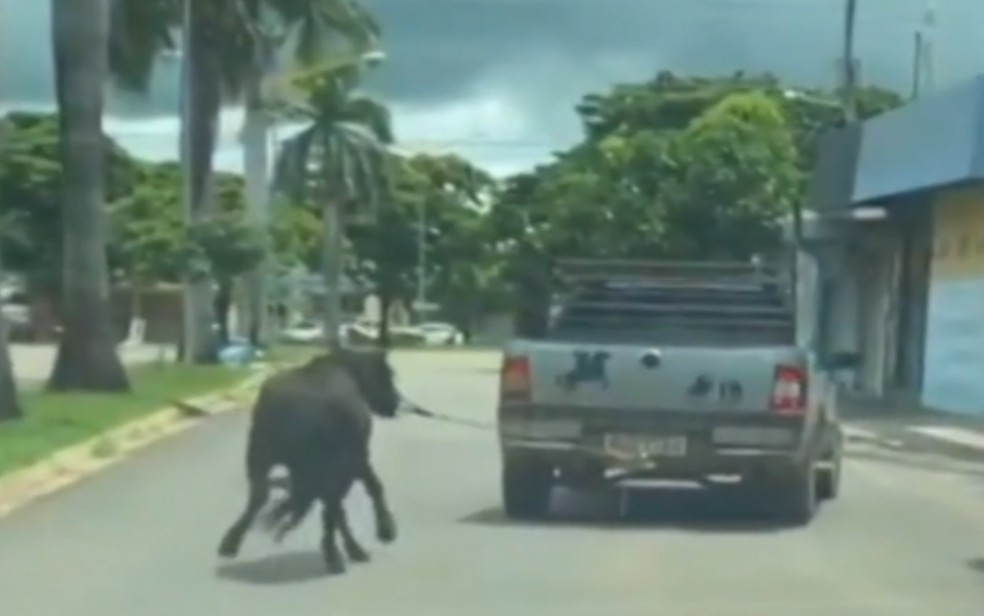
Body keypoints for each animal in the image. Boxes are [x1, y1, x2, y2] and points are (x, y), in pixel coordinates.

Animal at [221, 348, 406, 576]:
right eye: (387, 375)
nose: (395, 403)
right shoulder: (358, 459)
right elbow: (374, 488)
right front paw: (386, 530)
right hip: (328, 466)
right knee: (331, 506)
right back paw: (338, 554)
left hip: (260, 455)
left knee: (259, 495)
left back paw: (229, 543)